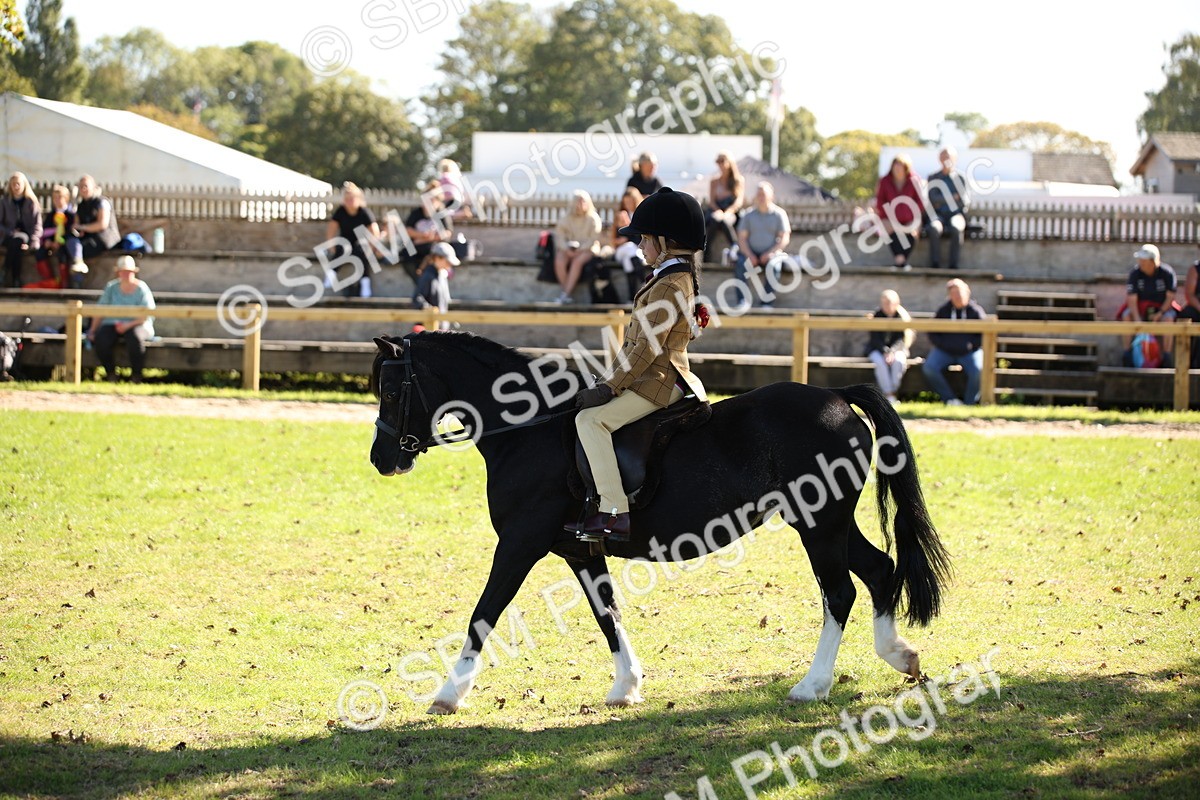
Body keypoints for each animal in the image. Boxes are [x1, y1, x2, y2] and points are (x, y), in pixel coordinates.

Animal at [369, 331, 950, 714]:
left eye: (393, 391)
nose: (381, 459)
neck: (529, 431)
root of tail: (836, 398)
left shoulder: (519, 545)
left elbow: (482, 615)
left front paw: (447, 695)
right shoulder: (580, 550)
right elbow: (607, 614)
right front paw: (626, 687)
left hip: (818, 524)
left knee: (840, 593)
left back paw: (813, 685)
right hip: (830, 523)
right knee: (879, 571)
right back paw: (900, 656)